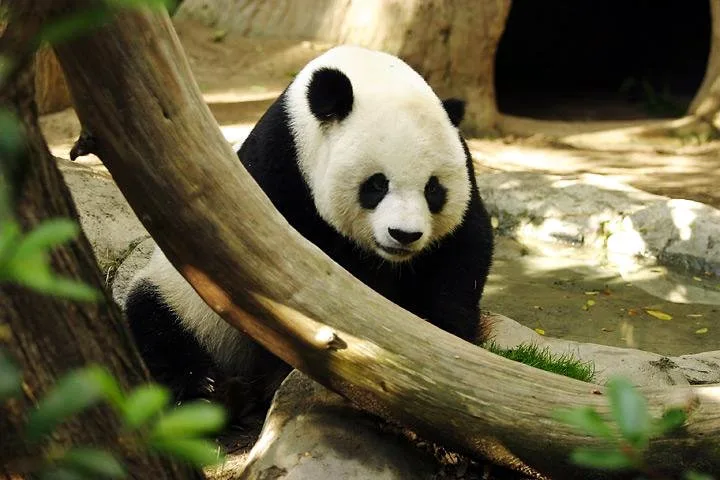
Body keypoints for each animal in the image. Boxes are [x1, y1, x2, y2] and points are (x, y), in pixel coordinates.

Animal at [125, 45, 494, 420]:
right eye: (377, 184)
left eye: (433, 189)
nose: (404, 235)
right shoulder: (279, 176)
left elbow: (462, 253)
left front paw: (442, 340)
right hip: (181, 300)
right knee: (157, 327)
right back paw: (210, 392)